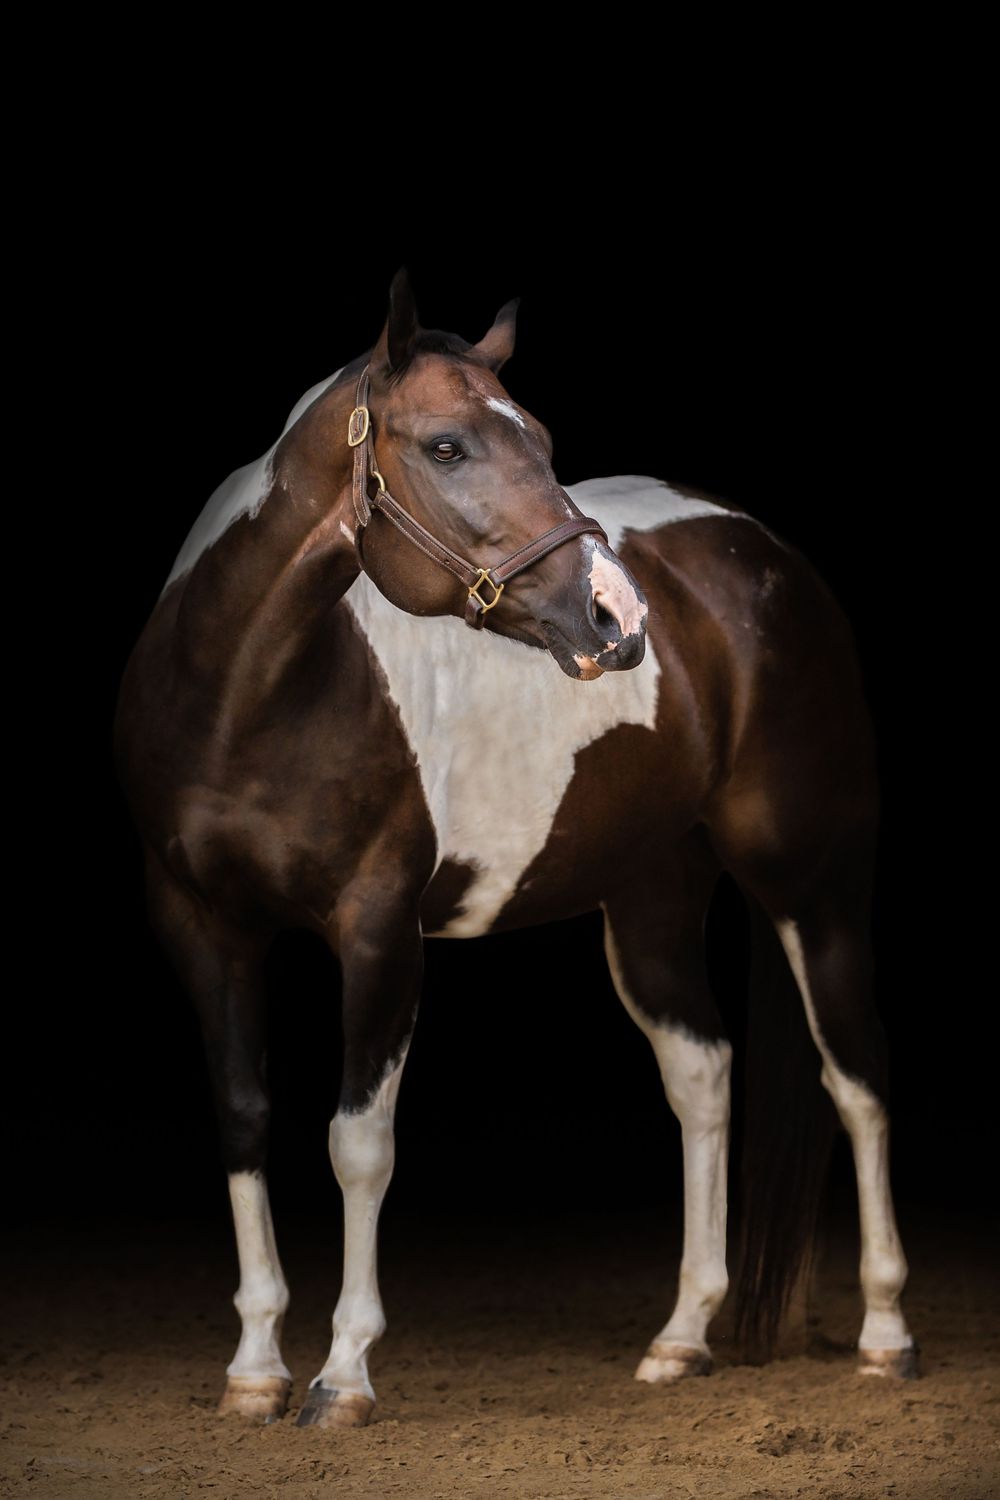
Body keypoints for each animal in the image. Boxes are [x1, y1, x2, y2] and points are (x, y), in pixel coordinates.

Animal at [113, 269, 917, 1430]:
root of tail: (763, 555)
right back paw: (681, 1338)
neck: (243, 699)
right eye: (446, 446)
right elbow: (243, 1119)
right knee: (702, 1076)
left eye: (539, 437)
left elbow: (358, 1145)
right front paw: (256, 1366)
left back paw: (886, 1334)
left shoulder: (378, 931)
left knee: (855, 1074)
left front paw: (344, 1374)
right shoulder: (201, 928)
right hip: (650, 900)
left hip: (812, 883)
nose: (618, 615)